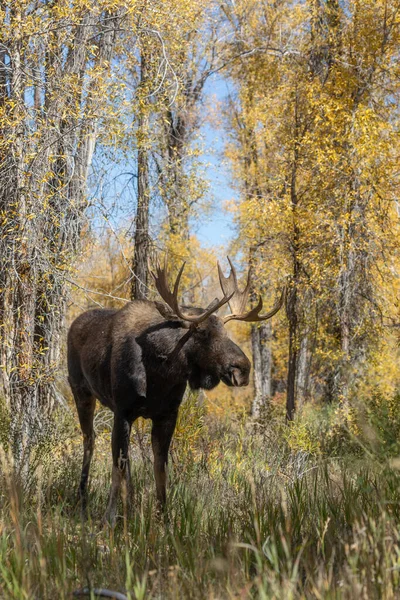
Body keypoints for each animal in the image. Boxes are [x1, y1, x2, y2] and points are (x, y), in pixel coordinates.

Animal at [66, 258, 284, 524]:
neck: (160, 373)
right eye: (201, 332)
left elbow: (160, 468)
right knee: (90, 440)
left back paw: (130, 503)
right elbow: (118, 465)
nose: (243, 368)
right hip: (81, 392)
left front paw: (164, 518)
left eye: (225, 331)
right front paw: (110, 517)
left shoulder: (167, 414)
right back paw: (83, 498)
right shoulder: (123, 411)